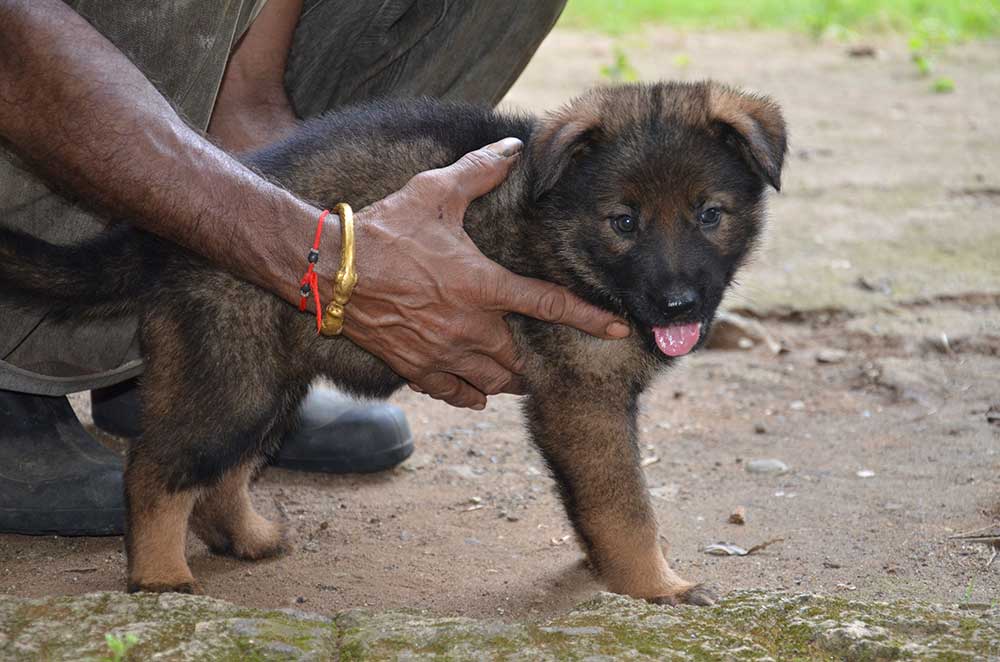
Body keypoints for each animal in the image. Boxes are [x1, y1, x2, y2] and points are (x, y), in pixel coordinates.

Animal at [0, 83, 784, 608]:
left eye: (710, 215)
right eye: (623, 221)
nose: (680, 305)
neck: (563, 233)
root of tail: (161, 239)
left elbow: (596, 504)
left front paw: (614, 573)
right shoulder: (583, 396)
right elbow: (625, 507)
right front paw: (655, 586)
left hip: (269, 375)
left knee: (223, 472)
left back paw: (248, 537)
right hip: (233, 376)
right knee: (156, 469)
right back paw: (161, 577)